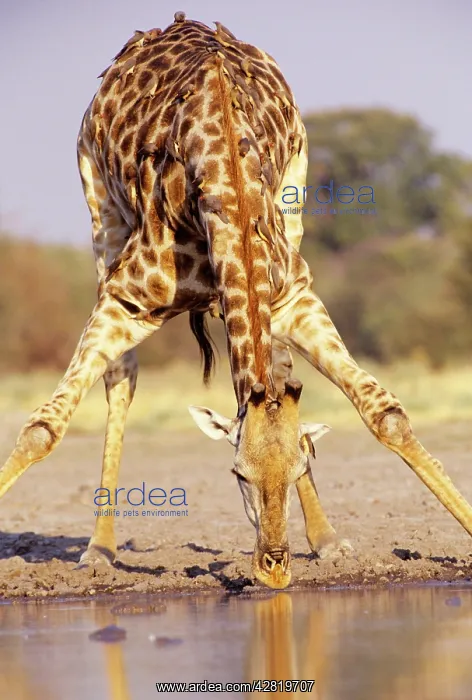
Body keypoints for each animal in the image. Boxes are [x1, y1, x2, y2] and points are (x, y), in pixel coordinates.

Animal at [1, 13, 472, 591]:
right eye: (237, 473)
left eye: (300, 466)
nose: (275, 567)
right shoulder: (125, 299)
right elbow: (43, 428)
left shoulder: (294, 295)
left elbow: (384, 412)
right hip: (100, 211)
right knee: (121, 378)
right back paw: (100, 548)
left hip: (294, 201)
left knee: (276, 364)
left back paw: (328, 540)